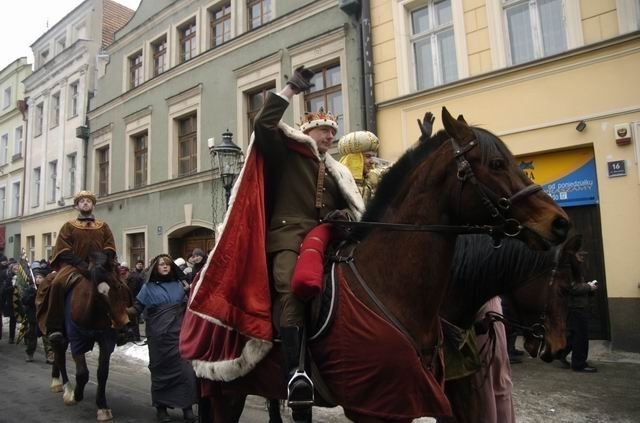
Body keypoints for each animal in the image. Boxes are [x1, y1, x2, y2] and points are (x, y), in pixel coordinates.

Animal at [48, 253, 132, 422]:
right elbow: (82, 374)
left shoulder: (106, 340)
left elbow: (102, 373)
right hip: (60, 336)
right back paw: (65, 388)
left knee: (59, 356)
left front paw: (103, 407)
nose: (122, 322)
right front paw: (75, 395)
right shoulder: (77, 340)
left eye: (118, 286)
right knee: (60, 357)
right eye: (98, 295)